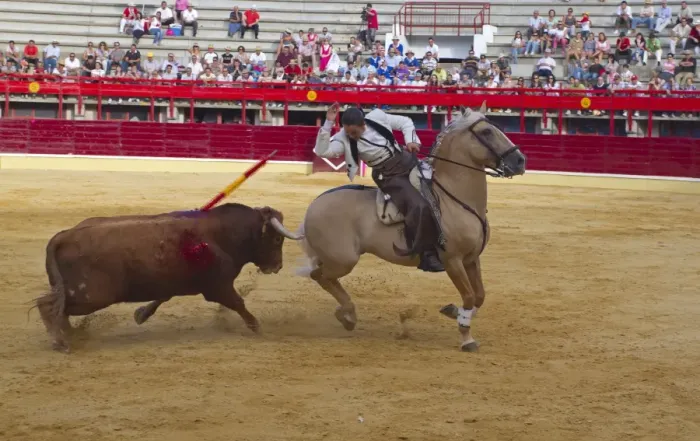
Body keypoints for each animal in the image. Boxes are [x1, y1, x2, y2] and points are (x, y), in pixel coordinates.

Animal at [35, 203, 303, 352]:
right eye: (276, 239)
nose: (277, 266)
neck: (224, 233)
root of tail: (63, 236)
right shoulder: (218, 287)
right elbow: (239, 303)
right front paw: (258, 328)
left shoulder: (173, 281)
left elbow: (162, 297)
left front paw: (141, 314)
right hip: (92, 295)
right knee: (47, 305)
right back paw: (60, 342)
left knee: (58, 308)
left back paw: (69, 336)